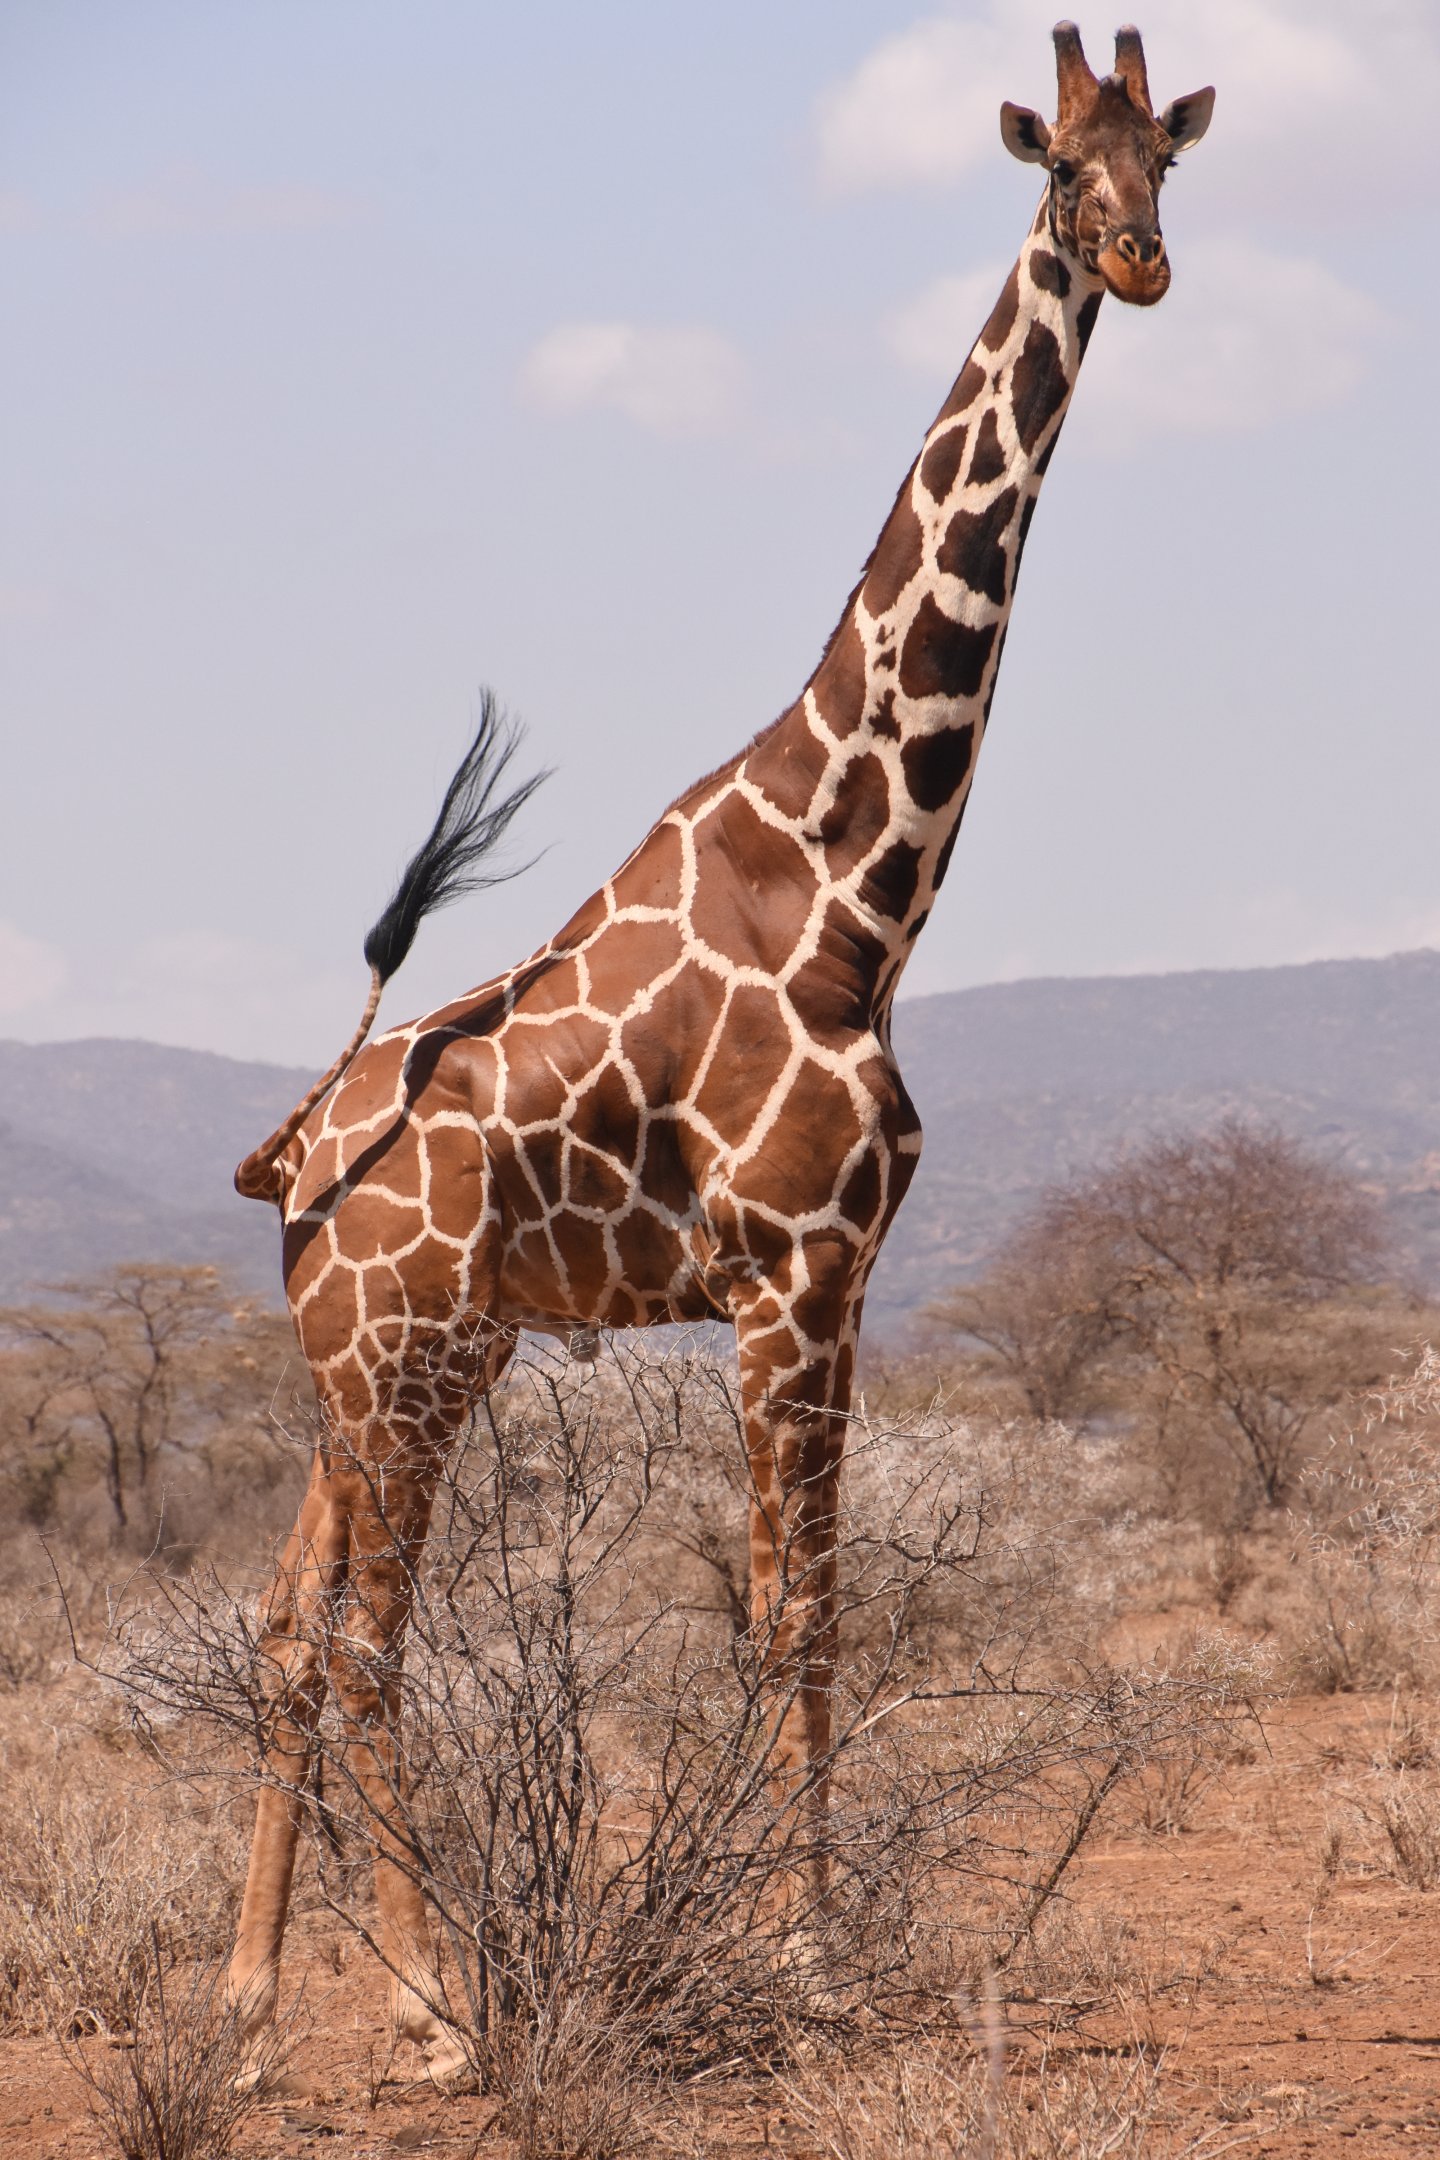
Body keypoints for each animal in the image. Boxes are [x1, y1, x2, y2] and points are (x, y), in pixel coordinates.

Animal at [226, 21, 1214, 2077]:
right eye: (1056, 171)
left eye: (1164, 158)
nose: (1143, 261)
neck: (857, 883)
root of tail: (292, 1160)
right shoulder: (793, 1273)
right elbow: (795, 1621)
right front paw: (810, 1955)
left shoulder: (840, 1279)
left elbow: (799, 1611)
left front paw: (798, 1940)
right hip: (407, 1367)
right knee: (359, 1645)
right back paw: (433, 2008)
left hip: (375, 1373)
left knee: (281, 1633)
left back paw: (253, 2001)